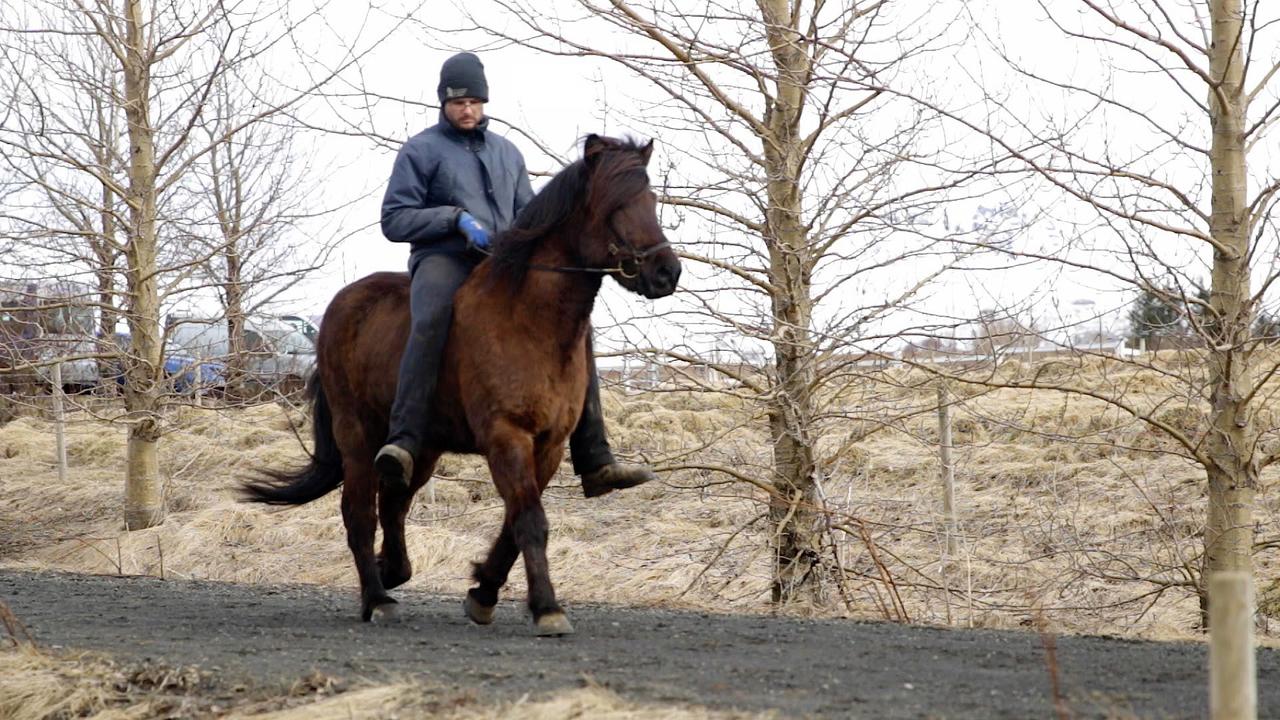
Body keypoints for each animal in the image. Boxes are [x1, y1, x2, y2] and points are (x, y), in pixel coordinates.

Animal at [241, 134, 680, 632]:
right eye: (616, 205)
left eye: (652, 200)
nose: (668, 272)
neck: (527, 319)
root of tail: (339, 307)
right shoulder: (506, 436)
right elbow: (530, 520)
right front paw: (547, 608)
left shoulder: (547, 445)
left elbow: (514, 521)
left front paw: (483, 591)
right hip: (356, 436)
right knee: (360, 514)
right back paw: (377, 597)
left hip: (423, 447)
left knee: (394, 501)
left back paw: (393, 571)